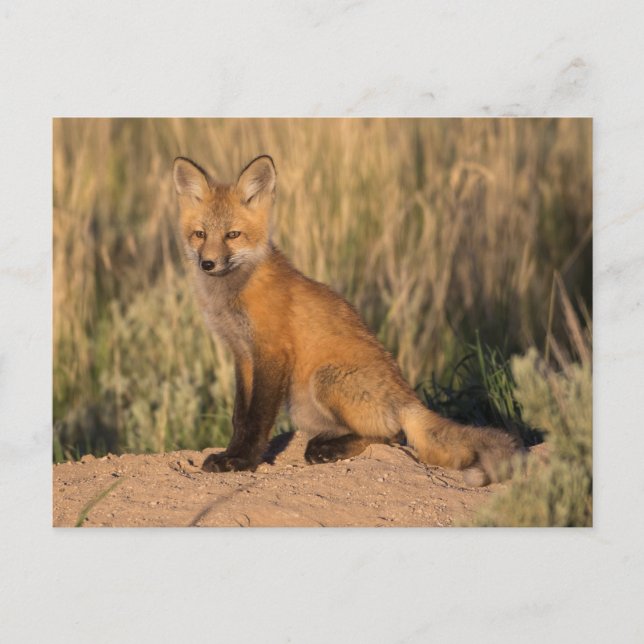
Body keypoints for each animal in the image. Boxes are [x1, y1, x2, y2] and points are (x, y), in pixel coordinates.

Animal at [172, 154, 522, 486]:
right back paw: (325, 442)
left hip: (325, 379)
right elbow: (239, 417)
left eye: (233, 235)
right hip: (302, 404)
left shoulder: (271, 352)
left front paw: (241, 461)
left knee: (392, 435)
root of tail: (409, 398)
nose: (207, 263)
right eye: (200, 234)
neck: (233, 294)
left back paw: (329, 450)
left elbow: (257, 419)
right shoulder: (243, 355)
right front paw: (231, 453)